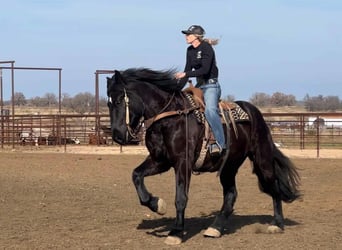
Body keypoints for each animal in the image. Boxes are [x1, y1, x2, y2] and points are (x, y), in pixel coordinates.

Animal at [106, 67, 300, 245]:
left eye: (119, 100)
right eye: (108, 103)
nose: (117, 136)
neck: (169, 118)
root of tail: (254, 112)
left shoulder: (182, 162)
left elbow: (180, 197)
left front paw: (176, 232)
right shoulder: (160, 161)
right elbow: (136, 175)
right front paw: (157, 204)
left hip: (261, 159)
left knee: (273, 186)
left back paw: (277, 223)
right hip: (229, 166)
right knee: (231, 194)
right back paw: (215, 228)